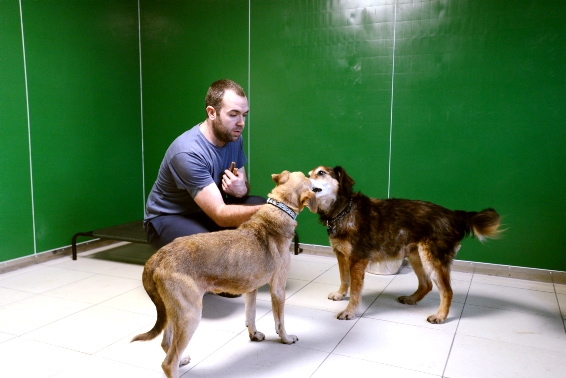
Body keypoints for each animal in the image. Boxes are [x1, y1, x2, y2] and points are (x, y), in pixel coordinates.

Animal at [134, 171, 320, 378]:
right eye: (307, 178)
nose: (317, 175)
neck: (277, 213)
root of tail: (157, 257)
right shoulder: (278, 288)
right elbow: (280, 322)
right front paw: (286, 339)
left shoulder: (251, 289)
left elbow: (251, 315)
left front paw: (254, 334)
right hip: (190, 314)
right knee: (168, 362)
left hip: (171, 311)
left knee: (166, 343)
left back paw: (182, 359)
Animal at [308, 167, 504, 324]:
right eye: (309, 174)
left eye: (321, 173)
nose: (303, 179)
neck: (342, 210)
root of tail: (452, 214)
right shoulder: (341, 255)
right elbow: (344, 279)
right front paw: (340, 294)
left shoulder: (357, 261)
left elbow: (355, 291)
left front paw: (349, 311)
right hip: (416, 256)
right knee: (427, 285)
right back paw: (411, 299)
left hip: (432, 259)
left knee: (447, 291)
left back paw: (440, 316)